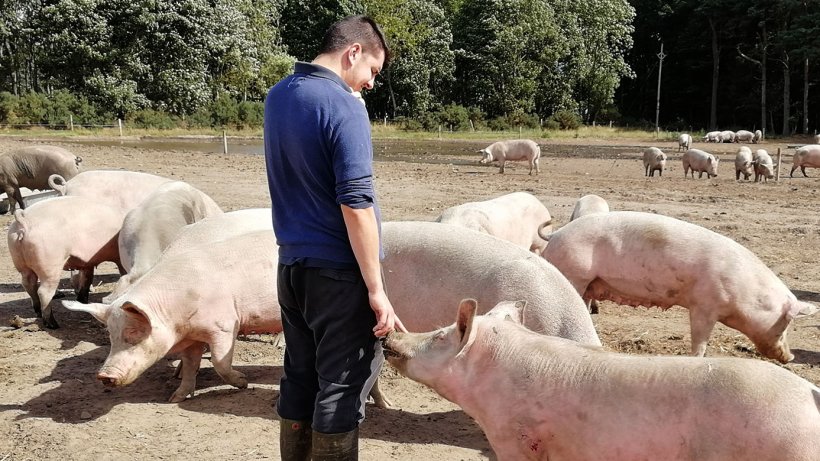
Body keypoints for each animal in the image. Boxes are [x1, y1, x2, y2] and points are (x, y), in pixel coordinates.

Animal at [7, 196, 125, 328]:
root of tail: (23, 219)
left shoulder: (87, 261)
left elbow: (87, 278)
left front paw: (82, 300)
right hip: (50, 264)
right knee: (44, 291)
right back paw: (53, 324)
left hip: (20, 263)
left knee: (28, 284)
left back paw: (38, 313)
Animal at [63, 232, 282, 400]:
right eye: (110, 336)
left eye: (133, 332)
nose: (103, 375)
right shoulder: (192, 336)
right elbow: (191, 365)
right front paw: (175, 398)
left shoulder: (225, 326)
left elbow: (220, 362)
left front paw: (243, 383)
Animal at [540, 209, 816, 362]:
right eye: (786, 323)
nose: (790, 357)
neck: (747, 293)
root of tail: (556, 234)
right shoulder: (704, 305)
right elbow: (700, 340)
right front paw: (697, 358)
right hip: (575, 273)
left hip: (588, 282)